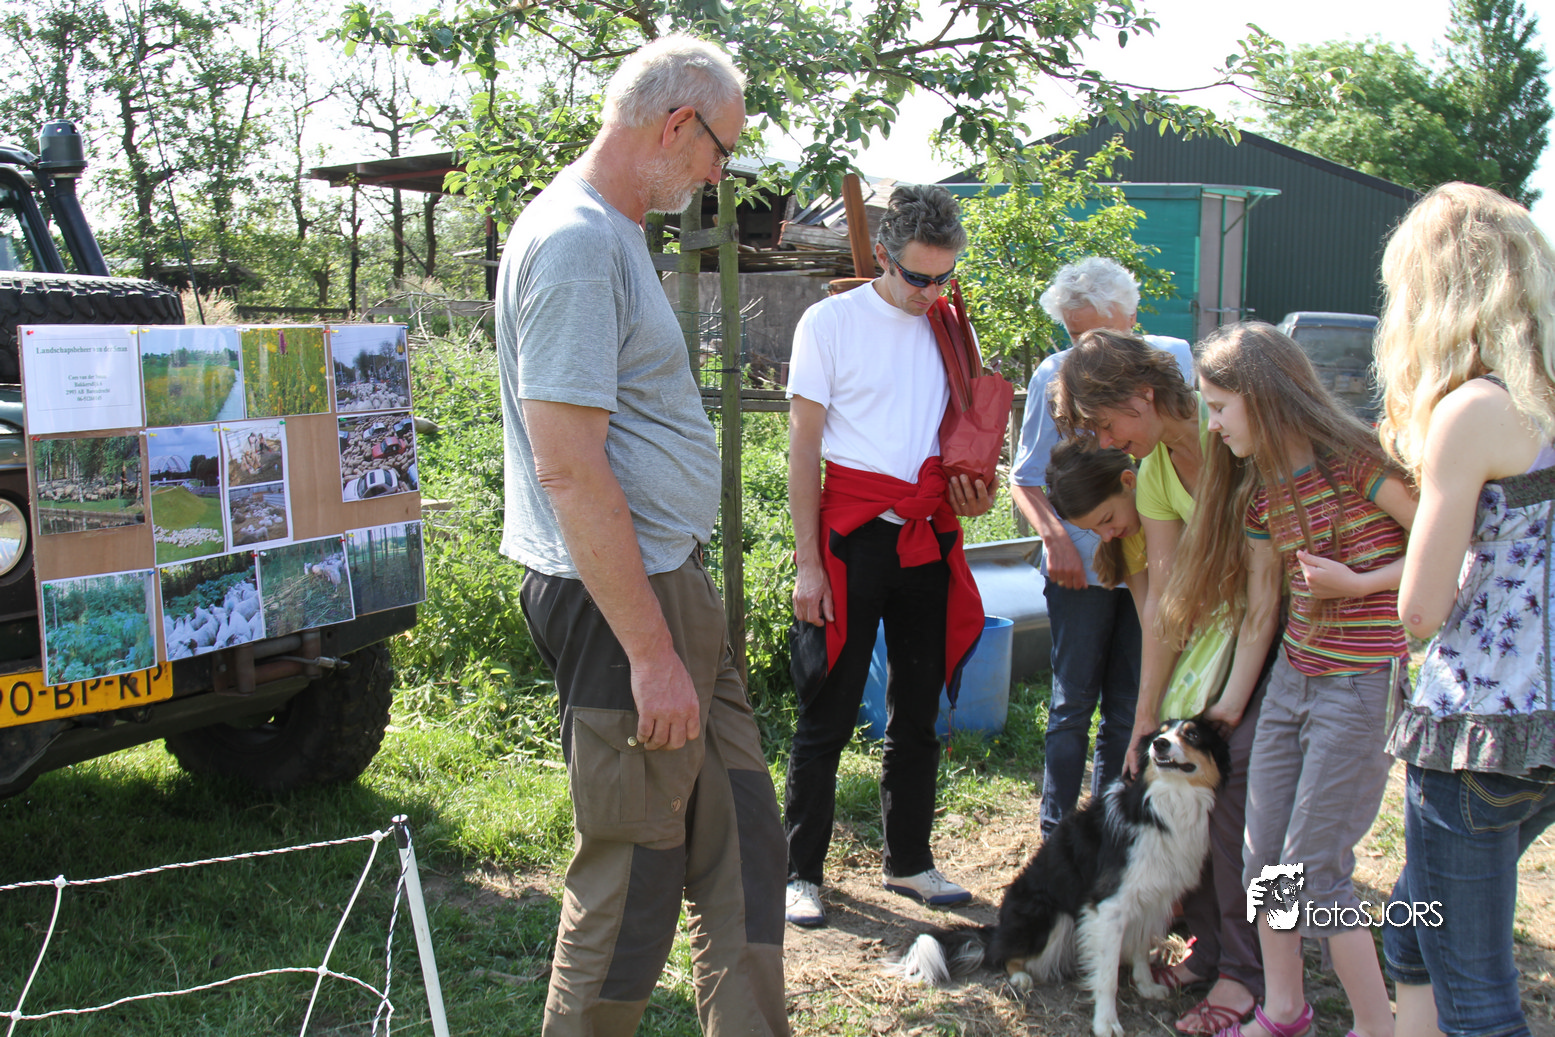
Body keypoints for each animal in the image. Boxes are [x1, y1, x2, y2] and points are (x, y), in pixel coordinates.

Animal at [889, 717, 1231, 1037]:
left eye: (1192, 734)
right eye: (1161, 733)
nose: (1158, 744)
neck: (1163, 805)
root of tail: (998, 928)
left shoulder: (1152, 898)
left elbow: (1142, 950)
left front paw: (1147, 987)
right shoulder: (1109, 905)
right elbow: (1107, 976)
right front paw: (1106, 1022)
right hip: (1050, 916)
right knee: (1002, 955)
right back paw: (1020, 976)